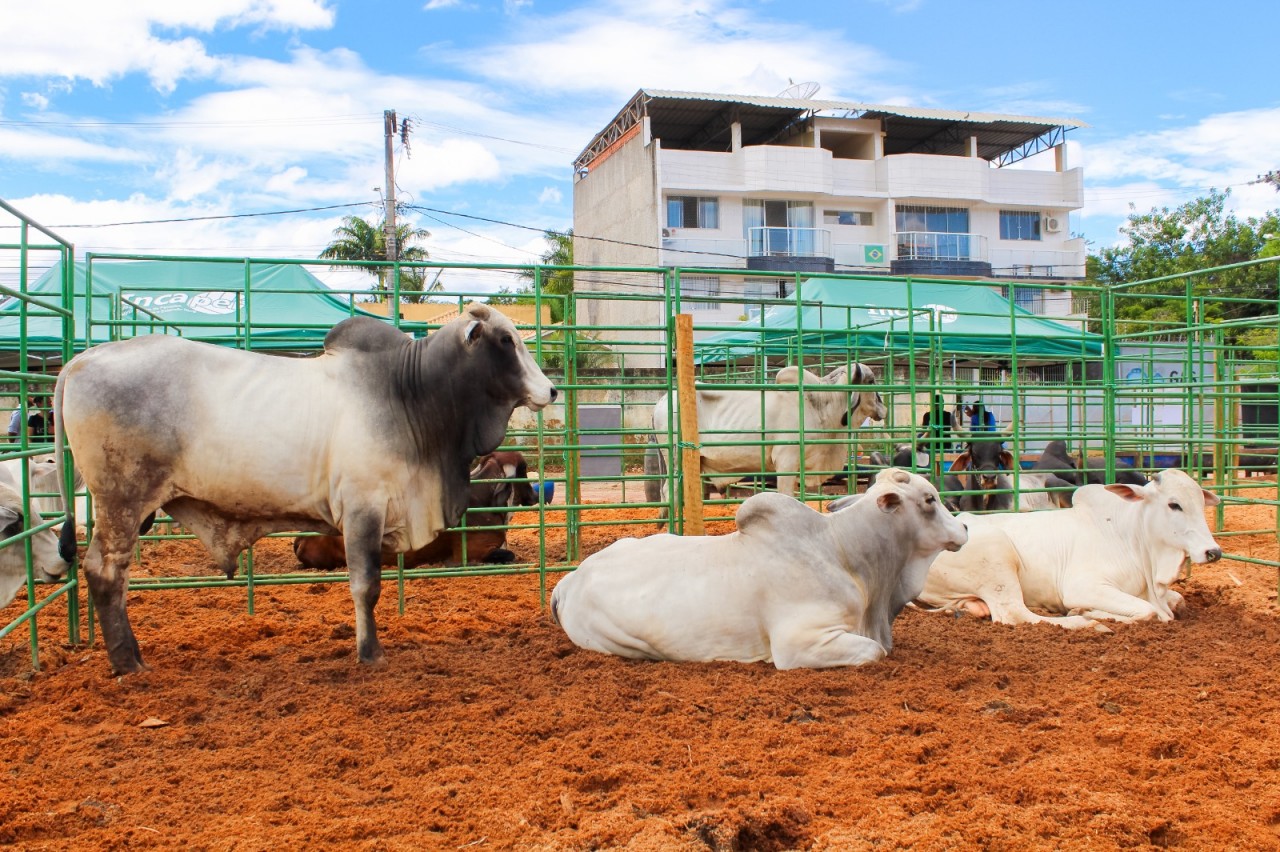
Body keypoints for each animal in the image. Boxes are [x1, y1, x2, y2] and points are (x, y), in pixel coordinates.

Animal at [57, 303, 555, 670]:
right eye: (506, 340)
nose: (551, 390)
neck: (409, 394)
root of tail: (83, 360)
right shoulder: (362, 508)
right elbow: (366, 585)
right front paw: (370, 653)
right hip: (121, 500)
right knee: (104, 571)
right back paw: (128, 663)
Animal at [552, 465, 967, 670]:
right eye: (930, 499)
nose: (964, 528)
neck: (842, 551)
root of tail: (570, 580)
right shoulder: (800, 642)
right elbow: (874, 652)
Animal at [916, 468, 1223, 626]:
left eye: (1200, 502)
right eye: (1174, 504)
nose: (1214, 551)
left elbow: (1177, 603)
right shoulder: (1085, 586)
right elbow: (1150, 613)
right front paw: (1084, 612)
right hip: (997, 558)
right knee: (1016, 615)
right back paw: (1084, 623)